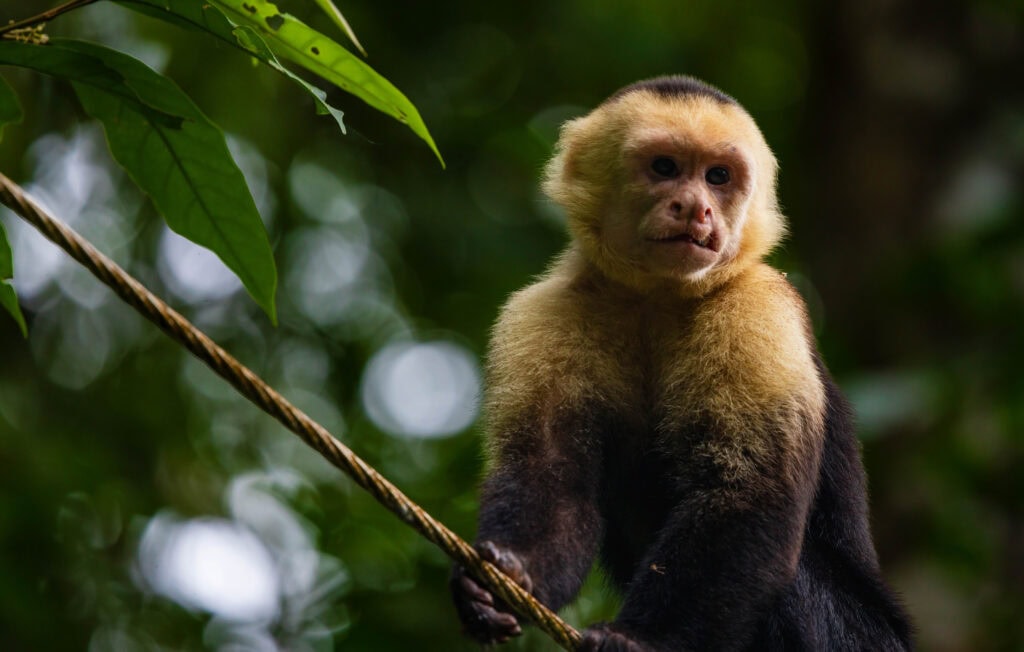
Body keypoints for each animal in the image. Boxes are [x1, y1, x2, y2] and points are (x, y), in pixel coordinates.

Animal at [450, 76, 913, 651]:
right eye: (665, 167)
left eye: (718, 177)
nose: (696, 209)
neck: (656, 297)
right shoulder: (546, 310)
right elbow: (551, 473)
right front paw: (504, 579)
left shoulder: (756, 305)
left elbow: (747, 492)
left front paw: (640, 640)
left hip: (857, 636)